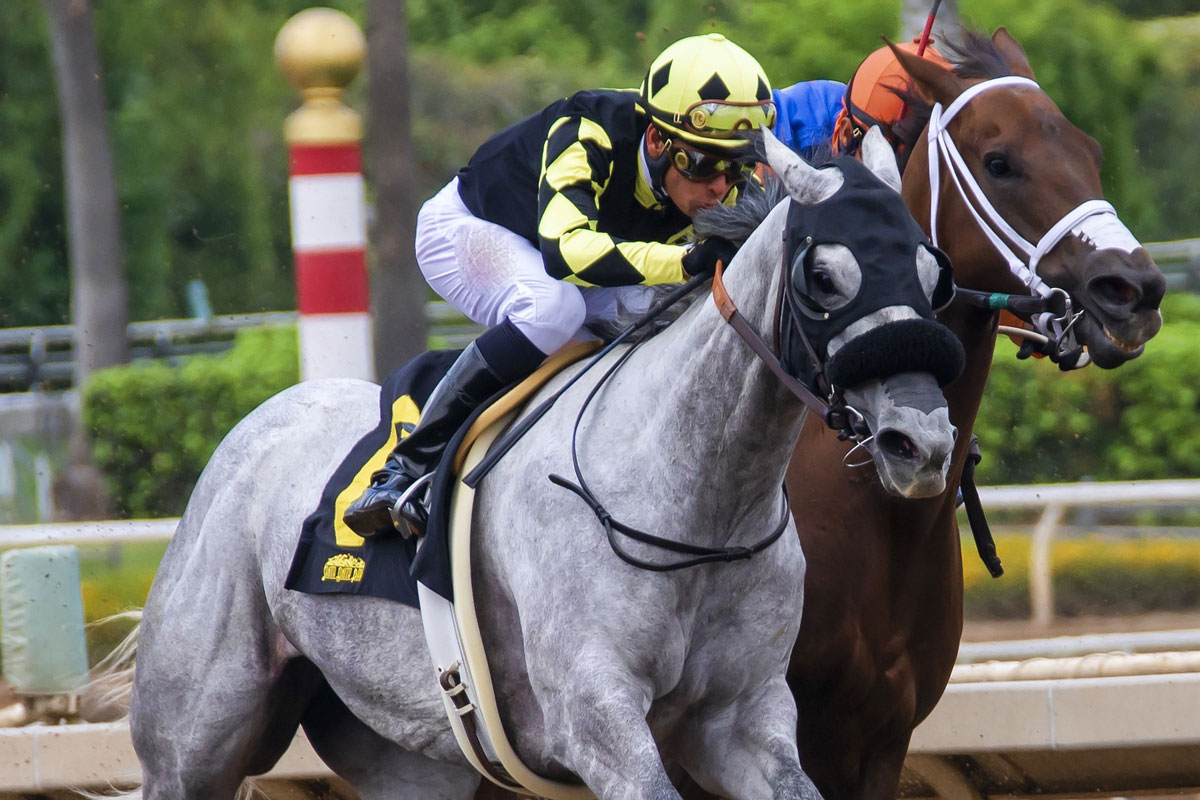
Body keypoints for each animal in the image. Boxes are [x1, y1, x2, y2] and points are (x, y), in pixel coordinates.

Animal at [126, 128, 960, 796]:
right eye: (824, 277)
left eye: (934, 274)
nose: (919, 442)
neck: (695, 505)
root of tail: (255, 427)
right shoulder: (600, 722)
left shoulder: (744, 718)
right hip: (195, 742)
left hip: (407, 756)